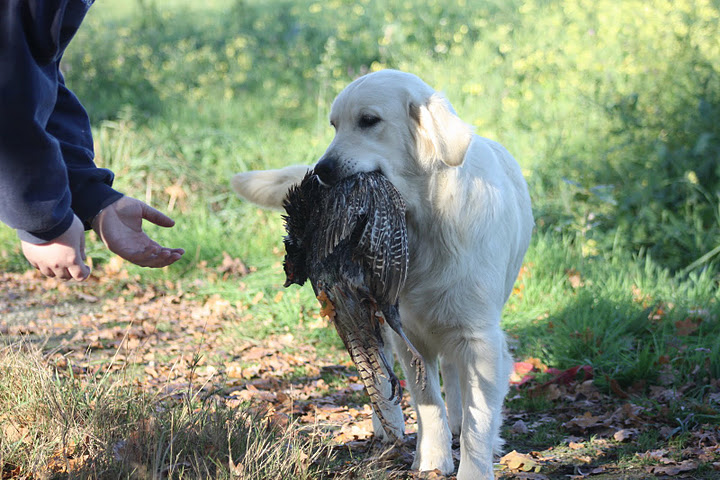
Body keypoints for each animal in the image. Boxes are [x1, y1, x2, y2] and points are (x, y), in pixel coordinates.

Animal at [232, 69, 536, 478]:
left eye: (369, 120)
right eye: (334, 125)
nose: (322, 171)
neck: (426, 219)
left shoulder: (480, 336)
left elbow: (479, 416)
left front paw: (474, 466)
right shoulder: (406, 329)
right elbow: (426, 398)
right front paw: (432, 458)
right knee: (383, 367)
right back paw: (386, 422)